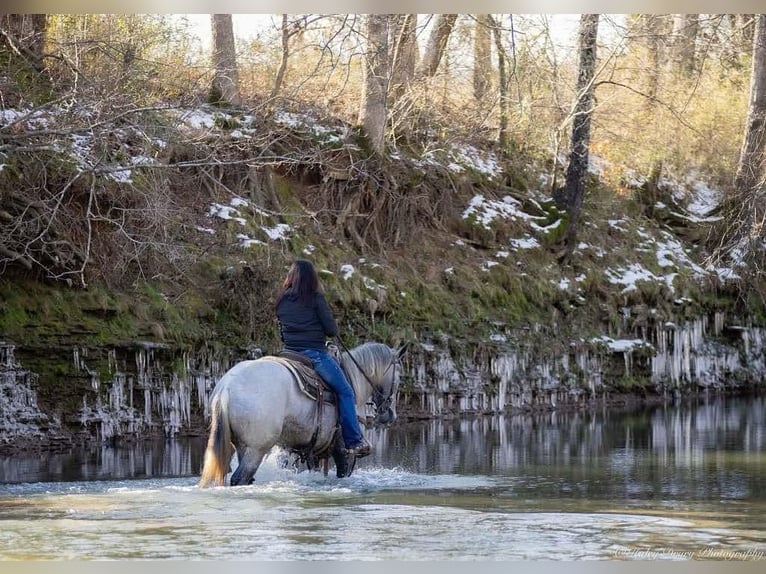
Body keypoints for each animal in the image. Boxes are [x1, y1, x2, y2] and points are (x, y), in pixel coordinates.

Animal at [198, 344, 408, 488]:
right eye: (399, 376)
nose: (390, 415)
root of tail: (226, 388)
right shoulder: (344, 451)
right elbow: (343, 472)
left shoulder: (312, 451)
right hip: (256, 449)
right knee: (240, 478)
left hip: (243, 446)